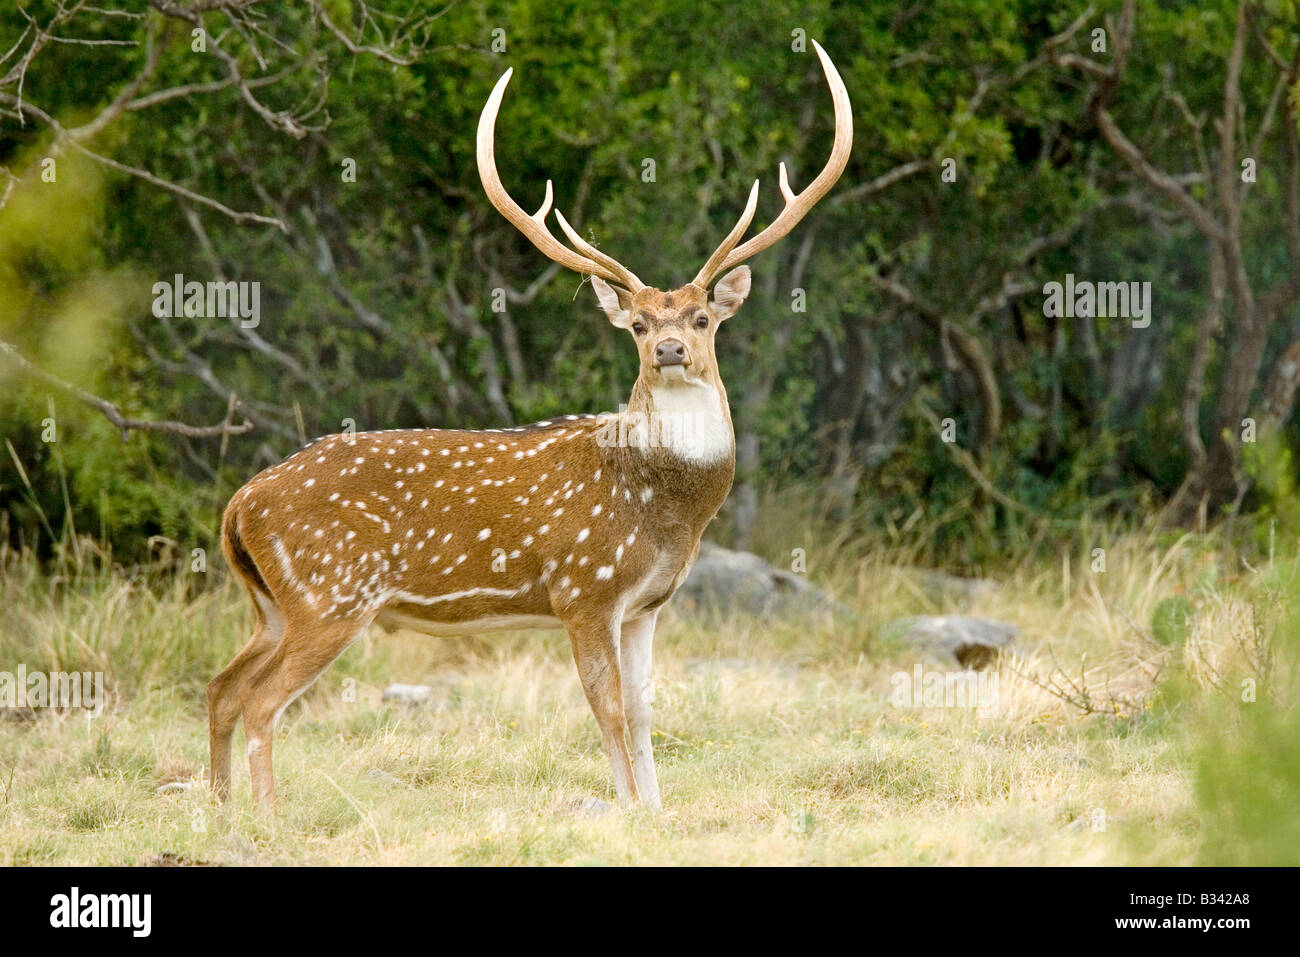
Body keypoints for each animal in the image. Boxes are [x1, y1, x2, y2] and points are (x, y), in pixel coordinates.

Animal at [209, 41, 851, 811]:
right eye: (638, 324)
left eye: (702, 317)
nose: (669, 349)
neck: (665, 509)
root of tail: (239, 505)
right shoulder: (585, 587)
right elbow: (606, 707)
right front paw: (628, 807)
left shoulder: (646, 604)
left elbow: (644, 708)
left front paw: (656, 809)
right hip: (330, 592)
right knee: (260, 700)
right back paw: (266, 817)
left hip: (272, 604)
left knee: (220, 687)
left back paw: (218, 810)